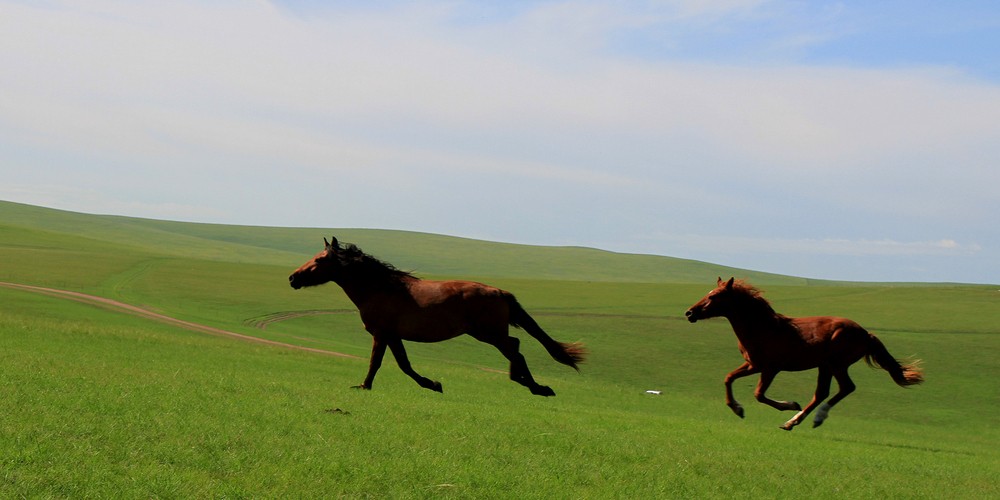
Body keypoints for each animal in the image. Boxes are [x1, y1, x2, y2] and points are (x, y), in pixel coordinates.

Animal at [288, 236, 584, 396]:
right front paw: (433, 384)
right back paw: (522, 381)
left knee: (516, 350)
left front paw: (364, 386)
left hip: (488, 333)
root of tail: (500, 291)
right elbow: (404, 365)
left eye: (319, 260)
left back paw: (537, 387)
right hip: (490, 333)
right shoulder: (393, 335)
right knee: (516, 347)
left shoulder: (381, 334)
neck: (380, 288)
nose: (292, 278)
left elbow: (377, 363)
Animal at [684, 278, 924, 430]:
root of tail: (865, 334)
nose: (689, 313)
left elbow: (759, 394)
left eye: (714, 296)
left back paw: (810, 419)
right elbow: (728, 378)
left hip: (837, 364)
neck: (762, 328)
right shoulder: (753, 365)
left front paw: (789, 404)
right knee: (822, 393)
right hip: (825, 366)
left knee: (845, 388)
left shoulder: (770, 368)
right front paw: (737, 409)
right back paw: (794, 422)